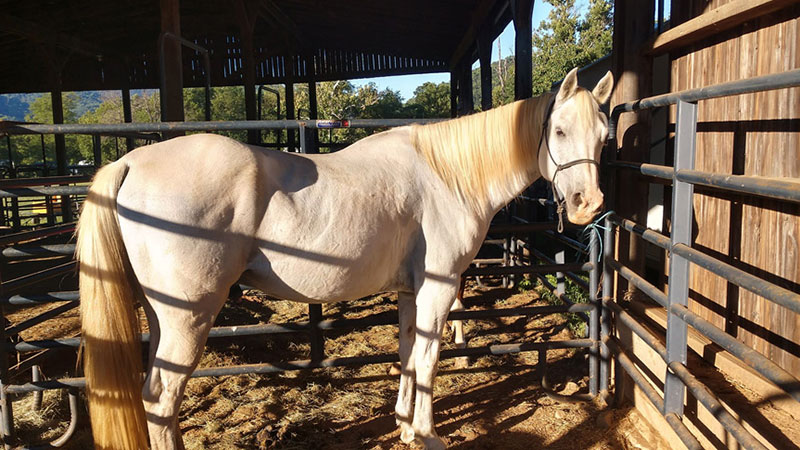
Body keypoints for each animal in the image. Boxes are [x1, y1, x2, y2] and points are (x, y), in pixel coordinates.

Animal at [76, 67, 612, 450]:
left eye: (604, 136)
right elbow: (429, 359)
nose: (587, 205)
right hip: (189, 317)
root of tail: (130, 162)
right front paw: (428, 435)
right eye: (559, 131)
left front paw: (404, 427)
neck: (448, 175)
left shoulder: (411, 292)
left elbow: (407, 354)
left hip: (162, 314)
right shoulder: (439, 288)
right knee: (161, 398)